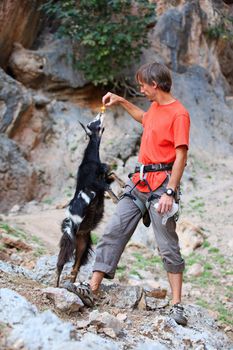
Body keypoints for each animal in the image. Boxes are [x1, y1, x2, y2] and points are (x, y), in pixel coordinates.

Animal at [56, 110, 120, 290]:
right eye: (93, 123)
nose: (101, 113)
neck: (90, 159)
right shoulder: (94, 184)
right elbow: (107, 185)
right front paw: (117, 199)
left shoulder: (104, 177)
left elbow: (112, 175)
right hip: (69, 238)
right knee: (61, 262)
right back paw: (55, 285)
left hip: (83, 245)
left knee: (74, 267)